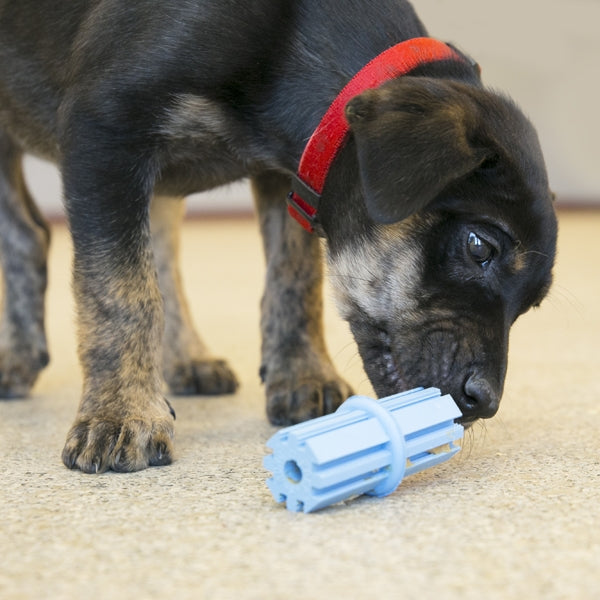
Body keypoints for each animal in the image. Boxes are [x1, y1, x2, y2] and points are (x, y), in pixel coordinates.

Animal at [0, 0, 556, 472]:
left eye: (529, 305)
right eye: (480, 245)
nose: (486, 402)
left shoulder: (291, 175)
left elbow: (294, 276)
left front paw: (302, 374)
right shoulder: (105, 133)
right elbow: (120, 290)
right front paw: (121, 413)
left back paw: (185, 358)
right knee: (34, 235)